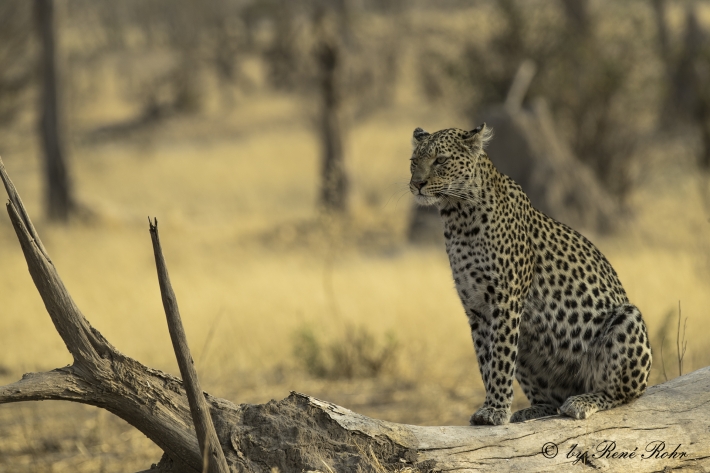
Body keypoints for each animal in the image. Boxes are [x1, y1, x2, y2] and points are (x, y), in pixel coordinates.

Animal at [408, 124, 652, 426]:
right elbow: (486, 360)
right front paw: (492, 407)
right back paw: (531, 411)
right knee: (551, 400)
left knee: (620, 393)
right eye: (414, 161)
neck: (457, 217)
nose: (417, 184)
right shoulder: (476, 309)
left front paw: (496, 409)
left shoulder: (506, 300)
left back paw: (582, 401)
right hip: (529, 343)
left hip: (628, 319)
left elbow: (500, 359)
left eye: (440, 160)